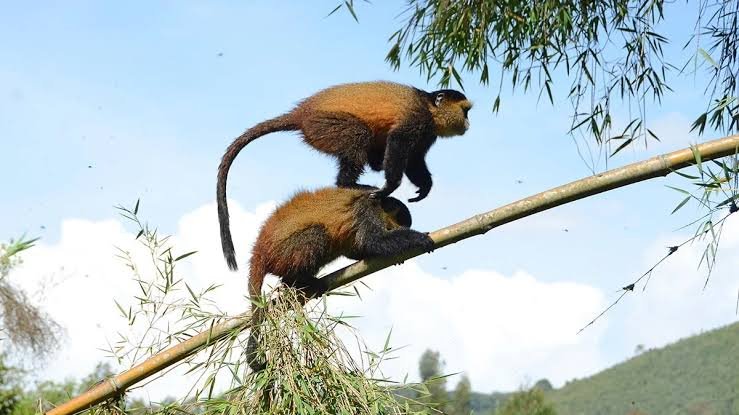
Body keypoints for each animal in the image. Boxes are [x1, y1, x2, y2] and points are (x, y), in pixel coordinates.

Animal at [217, 81, 471, 270]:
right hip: (323, 127)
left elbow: (414, 159)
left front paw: (424, 186)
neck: (429, 107)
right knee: (358, 134)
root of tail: (300, 114)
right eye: (465, 111)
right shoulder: (417, 119)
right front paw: (390, 186)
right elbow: (399, 141)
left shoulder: (427, 132)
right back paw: (350, 184)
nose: (468, 123)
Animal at [244, 186, 435, 372]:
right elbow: (374, 240)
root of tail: (260, 249)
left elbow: (359, 247)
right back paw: (299, 279)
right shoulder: (365, 210)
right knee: (318, 233)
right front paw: (419, 238)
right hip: (283, 252)